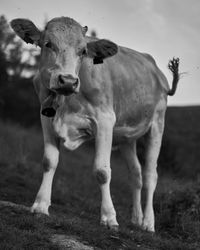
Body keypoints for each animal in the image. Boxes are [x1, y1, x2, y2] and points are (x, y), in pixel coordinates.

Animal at [10, 16, 180, 232]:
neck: (67, 101)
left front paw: (109, 217)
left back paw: (148, 223)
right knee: (136, 174)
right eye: (48, 44)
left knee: (151, 175)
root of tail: (157, 71)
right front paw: (40, 205)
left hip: (157, 123)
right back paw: (136, 218)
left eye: (83, 51)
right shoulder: (46, 116)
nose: (67, 80)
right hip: (126, 138)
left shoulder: (105, 120)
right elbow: (49, 161)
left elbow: (102, 171)